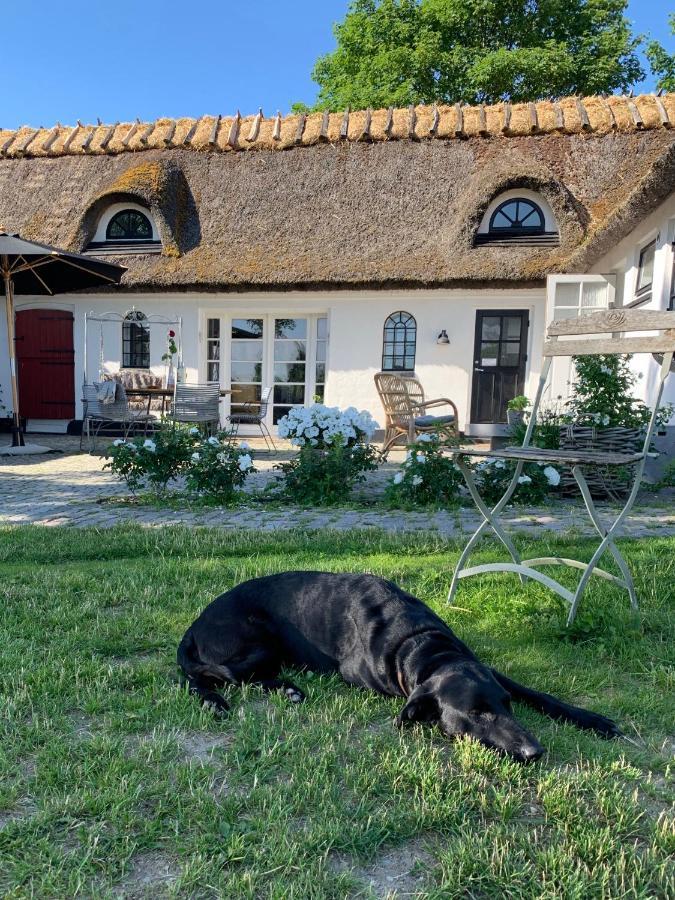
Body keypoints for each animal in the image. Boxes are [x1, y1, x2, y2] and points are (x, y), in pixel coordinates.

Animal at [178, 572, 624, 764]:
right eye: (476, 713)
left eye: (506, 705)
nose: (535, 751)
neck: (421, 643)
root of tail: (195, 623)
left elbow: (539, 693)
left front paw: (594, 720)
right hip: (262, 640)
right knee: (203, 674)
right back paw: (218, 700)